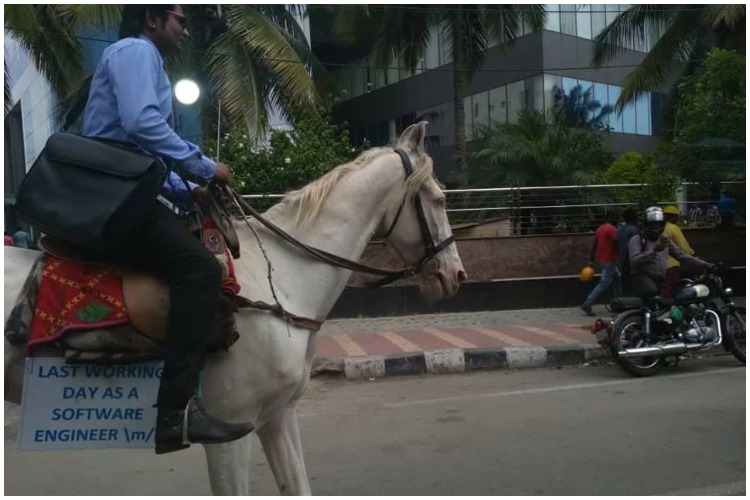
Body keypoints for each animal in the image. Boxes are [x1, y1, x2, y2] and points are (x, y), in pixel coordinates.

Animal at [4, 122, 464, 496]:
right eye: (440, 200)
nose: (455, 274)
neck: (281, 283)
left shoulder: (278, 416)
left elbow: (298, 485)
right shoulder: (231, 432)